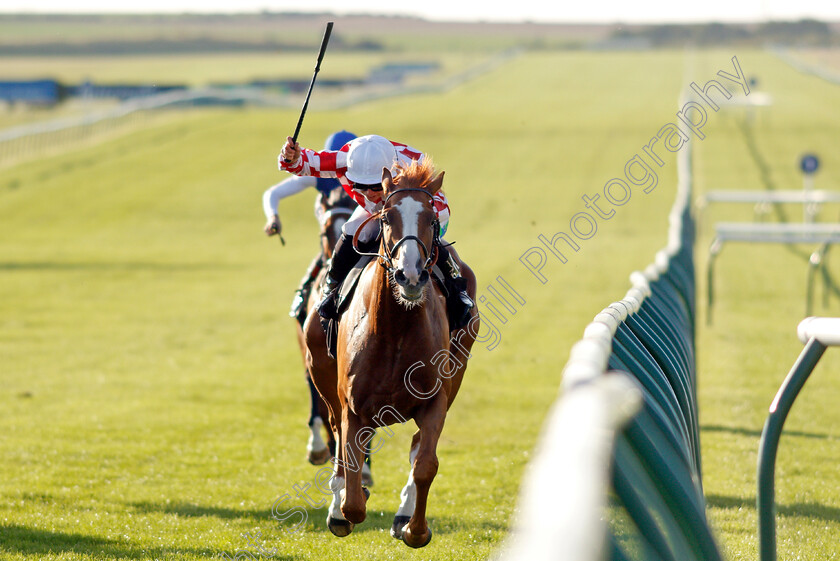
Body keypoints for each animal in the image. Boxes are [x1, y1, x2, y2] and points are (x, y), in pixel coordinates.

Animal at [304, 159, 480, 548]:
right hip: (320, 369)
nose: (409, 275)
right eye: (386, 217)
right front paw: (342, 507)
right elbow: (353, 493)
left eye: (431, 219)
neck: (396, 330)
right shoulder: (352, 405)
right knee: (336, 434)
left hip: (458, 368)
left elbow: (425, 463)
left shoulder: (435, 400)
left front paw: (415, 528)